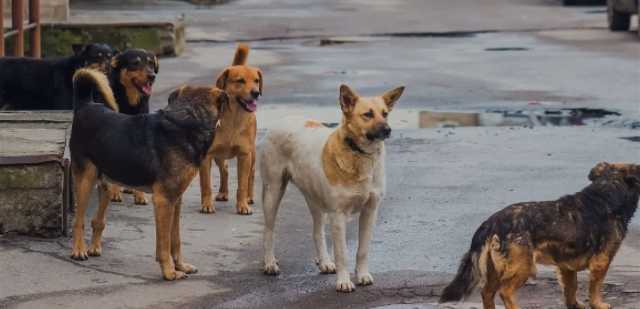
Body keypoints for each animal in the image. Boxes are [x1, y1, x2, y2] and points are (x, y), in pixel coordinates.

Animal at [67, 67, 226, 280]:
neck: (188, 119)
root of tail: (85, 105)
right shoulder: (163, 201)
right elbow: (164, 243)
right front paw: (169, 272)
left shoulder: (175, 200)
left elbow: (175, 240)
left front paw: (181, 266)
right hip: (85, 180)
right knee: (78, 221)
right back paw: (78, 250)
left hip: (107, 183)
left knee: (97, 220)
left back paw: (94, 247)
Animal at [105, 48, 159, 205]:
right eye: (135, 63)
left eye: (151, 63)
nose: (152, 76)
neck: (130, 102)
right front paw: (115, 192)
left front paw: (140, 195)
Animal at [199, 43, 262, 214]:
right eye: (240, 81)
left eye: (256, 80)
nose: (256, 93)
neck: (233, 119)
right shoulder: (206, 156)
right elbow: (206, 185)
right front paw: (206, 204)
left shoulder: (244, 155)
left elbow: (242, 185)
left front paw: (243, 205)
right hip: (219, 155)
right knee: (225, 169)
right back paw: (223, 192)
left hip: (252, 155)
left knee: (251, 175)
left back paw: (249, 197)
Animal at [260, 83, 404, 292]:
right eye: (367, 114)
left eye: (385, 114)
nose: (388, 130)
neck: (359, 154)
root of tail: (282, 120)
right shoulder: (338, 215)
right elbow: (342, 253)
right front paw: (344, 281)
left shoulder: (370, 211)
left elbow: (363, 250)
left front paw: (362, 275)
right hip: (273, 191)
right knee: (269, 231)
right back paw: (270, 263)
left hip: (315, 199)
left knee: (317, 231)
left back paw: (325, 262)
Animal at [440, 161, 640, 308]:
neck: (607, 193)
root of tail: (491, 222)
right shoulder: (601, 261)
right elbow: (595, 287)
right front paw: (598, 304)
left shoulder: (566, 266)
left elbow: (571, 288)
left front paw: (574, 305)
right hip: (523, 266)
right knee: (505, 291)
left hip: (495, 269)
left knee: (487, 292)